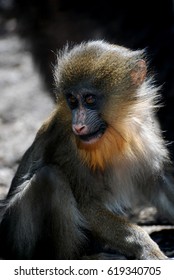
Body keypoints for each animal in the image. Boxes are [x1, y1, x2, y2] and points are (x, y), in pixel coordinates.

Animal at [0, 40, 174, 260]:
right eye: (73, 101)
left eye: (90, 99)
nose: (79, 126)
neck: (114, 131)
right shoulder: (67, 145)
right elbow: (86, 204)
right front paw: (147, 248)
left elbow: (159, 182)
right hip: (19, 240)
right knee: (50, 178)